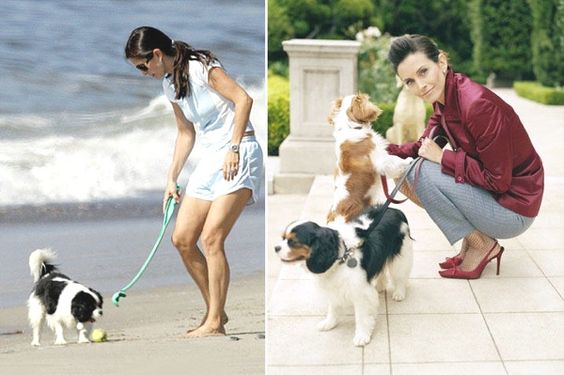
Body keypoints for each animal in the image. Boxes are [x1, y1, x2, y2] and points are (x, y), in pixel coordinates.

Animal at [276, 206, 412, 346]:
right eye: (283, 238)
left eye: (293, 242)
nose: (276, 248)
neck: (342, 255)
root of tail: (395, 209)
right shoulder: (334, 288)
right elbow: (333, 307)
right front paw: (329, 323)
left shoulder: (360, 292)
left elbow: (362, 316)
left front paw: (362, 335)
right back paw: (379, 286)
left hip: (401, 256)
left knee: (401, 275)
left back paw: (399, 293)